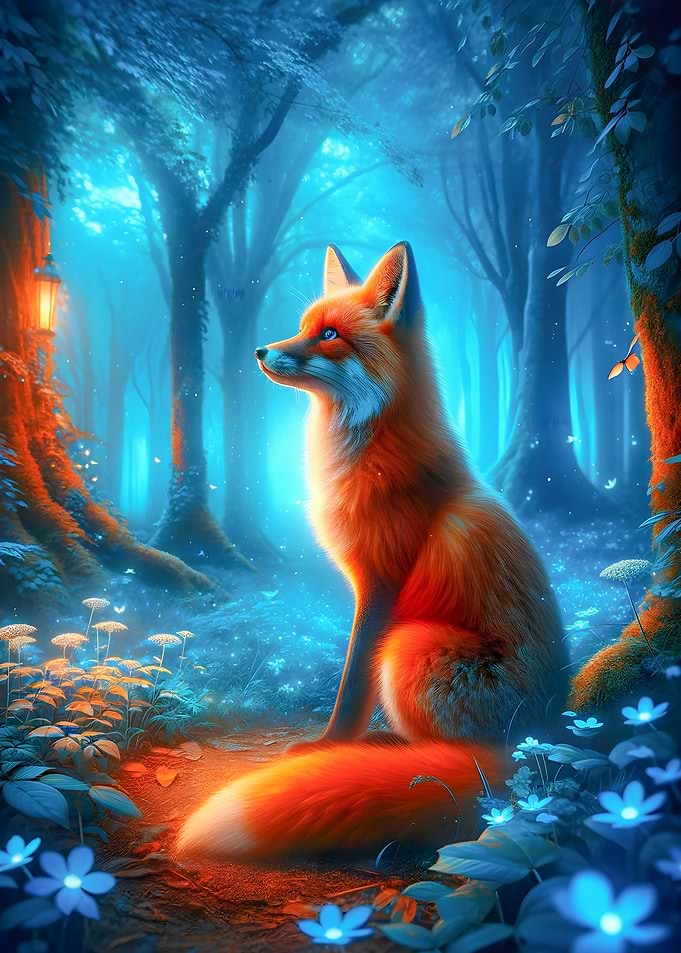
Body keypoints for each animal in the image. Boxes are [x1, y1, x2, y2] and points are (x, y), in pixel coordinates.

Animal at [178, 241, 568, 860]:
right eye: (305, 327)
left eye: (331, 335)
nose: (262, 350)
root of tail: (541, 739)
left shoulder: (381, 583)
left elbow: (353, 680)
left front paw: (329, 745)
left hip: (409, 644)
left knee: (458, 755)